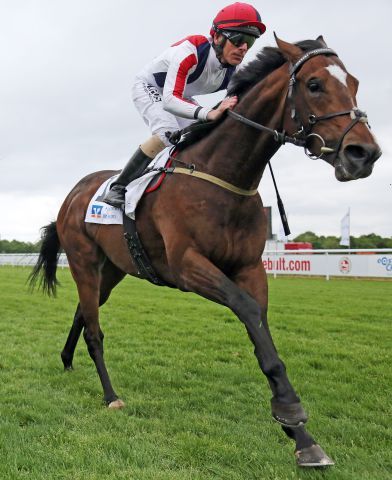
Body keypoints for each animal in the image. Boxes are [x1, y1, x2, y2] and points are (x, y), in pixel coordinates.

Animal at [29, 34, 380, 468]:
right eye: (314, 85)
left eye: (355, 83)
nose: (364, 153)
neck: (223, 175)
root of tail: (74, 192)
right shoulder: (188, 266)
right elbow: (246, 308)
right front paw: (292, 413)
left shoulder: (249, 267)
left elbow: (260, 326)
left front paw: (301, 436)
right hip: (82, 260)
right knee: (94, 328)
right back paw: (110, 395)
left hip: (112, 269)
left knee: (84, 309)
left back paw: (66, 359)